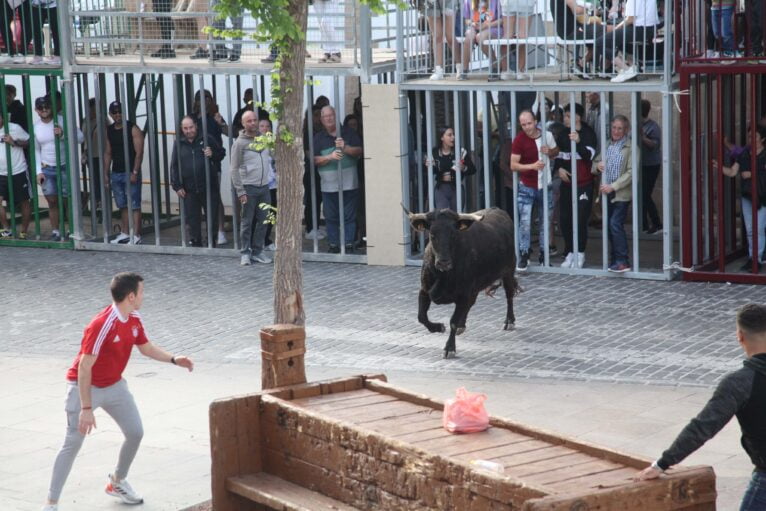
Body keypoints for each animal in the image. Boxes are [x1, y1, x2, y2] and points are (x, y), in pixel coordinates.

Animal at [404, 207, 520, 360]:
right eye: (432, 234)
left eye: (453, 234)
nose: (444, 262)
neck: (443, 275)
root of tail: (498, 210)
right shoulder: (424, 290)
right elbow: (421, 316)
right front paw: (438, 327)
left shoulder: (463, 294)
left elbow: (452, 321)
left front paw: (449, 348)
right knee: (472, 303)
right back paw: (462, 325)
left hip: (508, 271)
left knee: (509, 294)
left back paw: (509, 321)